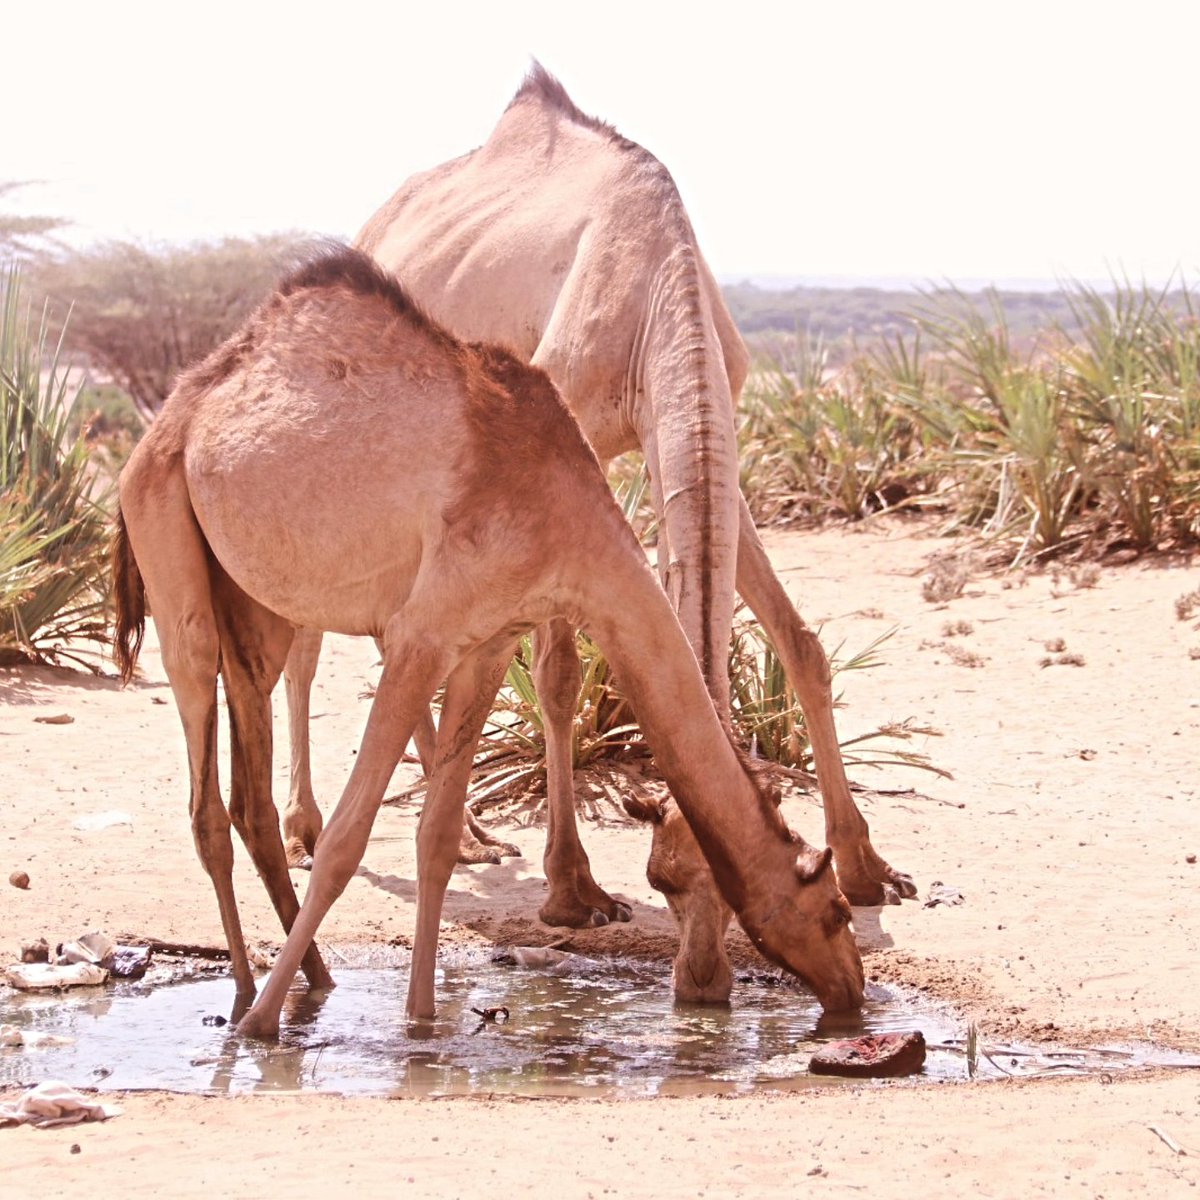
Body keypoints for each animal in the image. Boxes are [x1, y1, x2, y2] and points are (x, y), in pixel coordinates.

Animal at [111, 247, 865, 1040]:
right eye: (836, 910)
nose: (851, 990)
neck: (566, 516)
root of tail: (173, 417)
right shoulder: (422, 635)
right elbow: (347, 841)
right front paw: (264, 1031)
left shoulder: (491, 640)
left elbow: (438, 837)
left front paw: (421, 1025)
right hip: (165, 533)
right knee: (204, 782)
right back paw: (247, 1002)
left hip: (255, 608)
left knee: (249, 784)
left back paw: (307, 980)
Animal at [281, 64, 915, 966]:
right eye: (666, 879)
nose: (705, 976)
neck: (657, 292)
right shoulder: (565, 442)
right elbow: (558, 677)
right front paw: (572, 890)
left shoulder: (701, 443)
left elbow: (800, 642)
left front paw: (869, 867)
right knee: (309, 631)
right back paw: (305, 827)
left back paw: (470, 834)